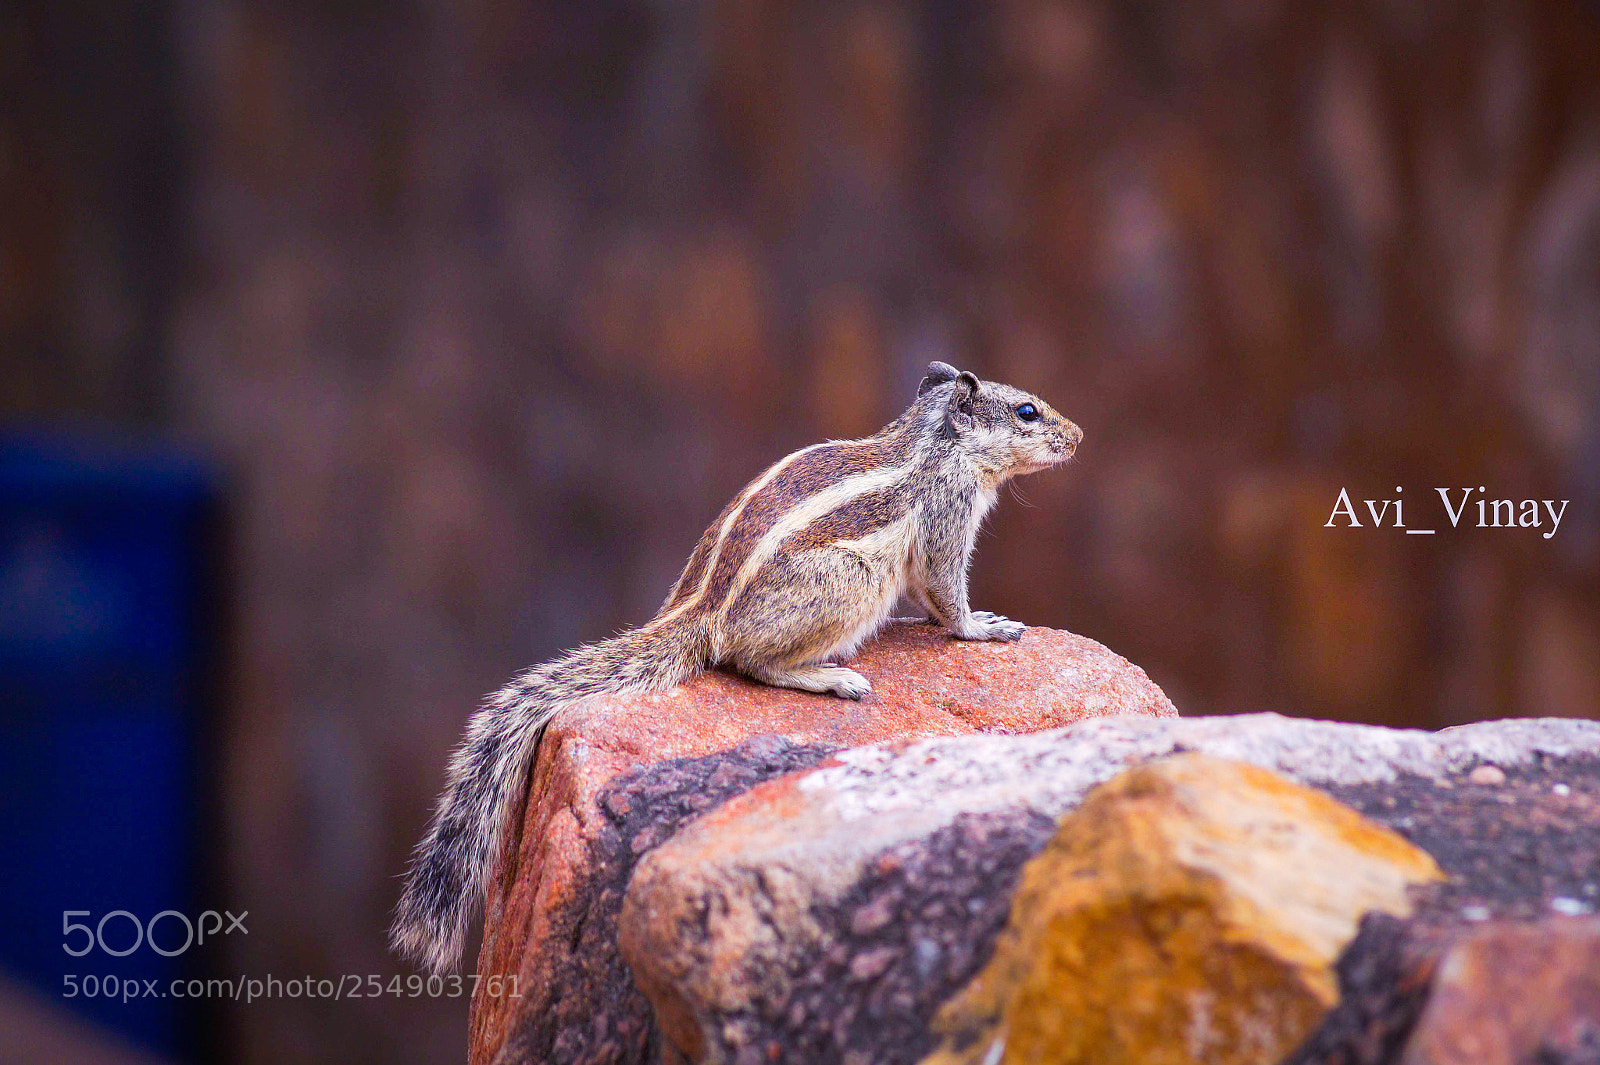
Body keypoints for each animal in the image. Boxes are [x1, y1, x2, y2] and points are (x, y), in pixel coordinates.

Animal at [391, 362, 1082, 974]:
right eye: (1026, 411)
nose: (1077, 436)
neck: (931, 442)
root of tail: (697, 612)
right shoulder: (947, 518)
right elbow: (946, 595)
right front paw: (984, 627)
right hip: (848, 582)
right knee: (753, 663)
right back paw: (832, 675)